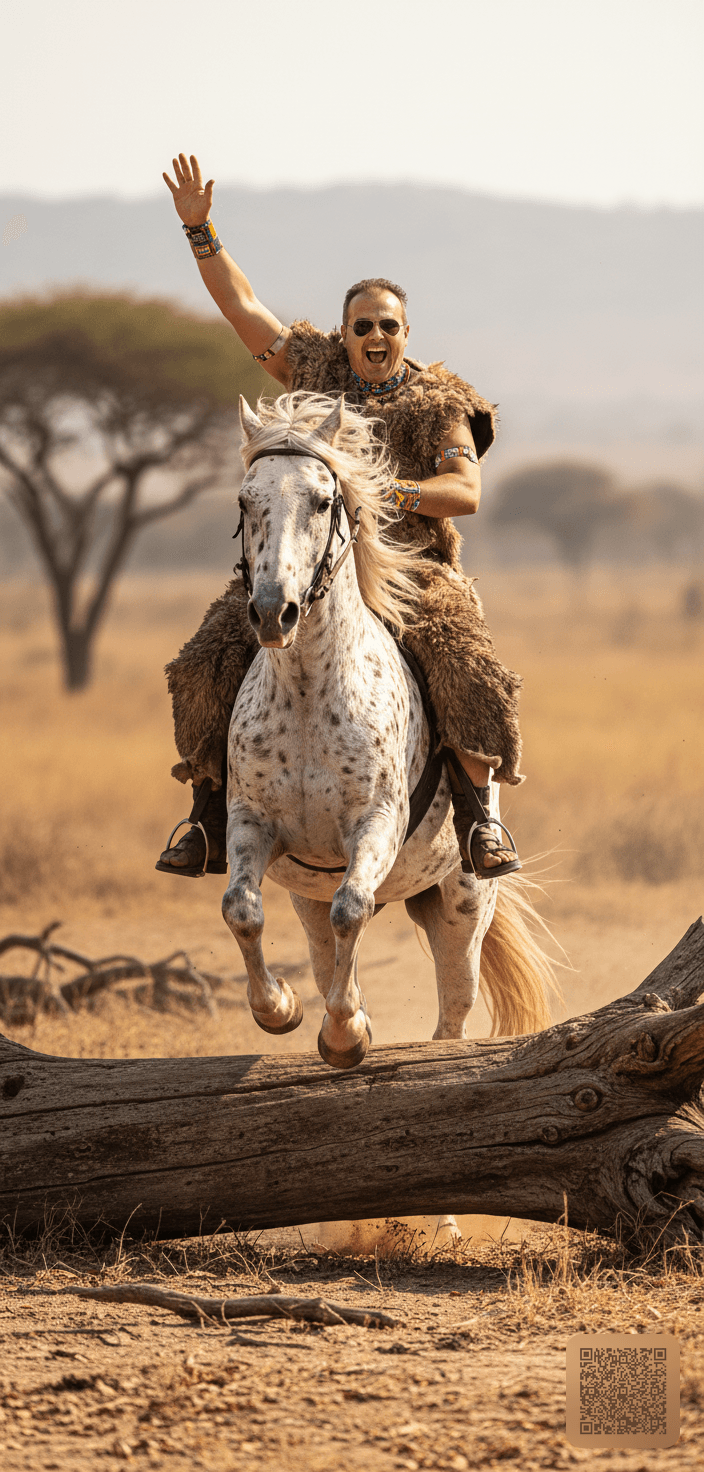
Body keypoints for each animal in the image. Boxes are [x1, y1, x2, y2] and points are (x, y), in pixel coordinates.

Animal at [221, 391, 557, 1083]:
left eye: (324, 501)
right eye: (246, 499)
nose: (272, 612)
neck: (308, 694)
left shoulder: (374, 822)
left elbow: (353, 907)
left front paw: (347, 1035)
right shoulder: (252, 822)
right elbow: (242, 909)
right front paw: (281, 1008)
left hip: (461, 906)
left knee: (453, 1011)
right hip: (309, 899)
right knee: (324, 946)